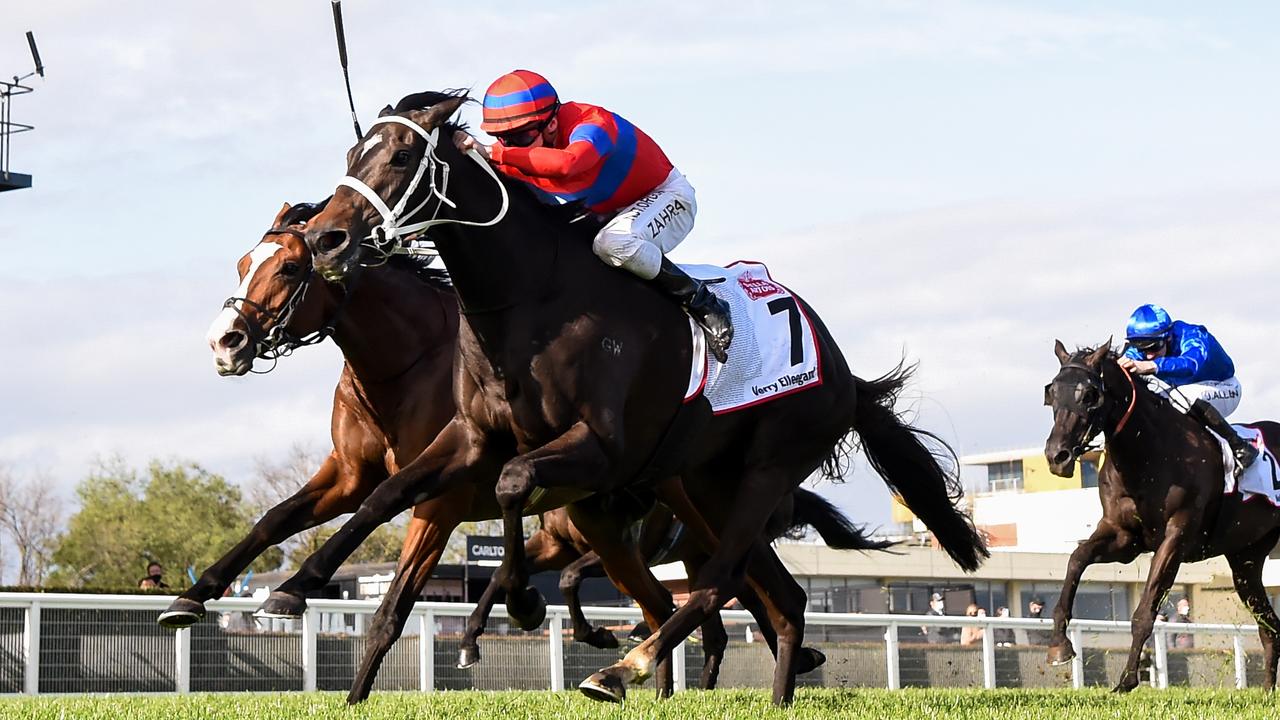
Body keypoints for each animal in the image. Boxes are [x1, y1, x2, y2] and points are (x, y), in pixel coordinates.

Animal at [259, 88, 983, 702]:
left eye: (402, 156)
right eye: (352, 157)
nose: (325, 237)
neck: (531, 298)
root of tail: (839, 368)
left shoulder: (600, 448)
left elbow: (513, 483)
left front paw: (523, 601)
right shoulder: (471, 438)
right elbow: (385, 494)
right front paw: (294, 586)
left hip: (766, 471)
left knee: (717, 583)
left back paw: (621, 669)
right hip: (712, 485)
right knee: (783, 600)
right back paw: (772, 695)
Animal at [1044, 340, 1280, 691]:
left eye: (1089, 394)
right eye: (1052, 392)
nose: (1056, 456)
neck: (1150, 453)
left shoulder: (1176, 538)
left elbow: (1145, 611)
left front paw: (1126, 680)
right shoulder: (1123, 537)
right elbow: (1076, 559)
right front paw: (1059, 645)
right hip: (1246, 559)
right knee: (1270, 626)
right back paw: (1266, 689)